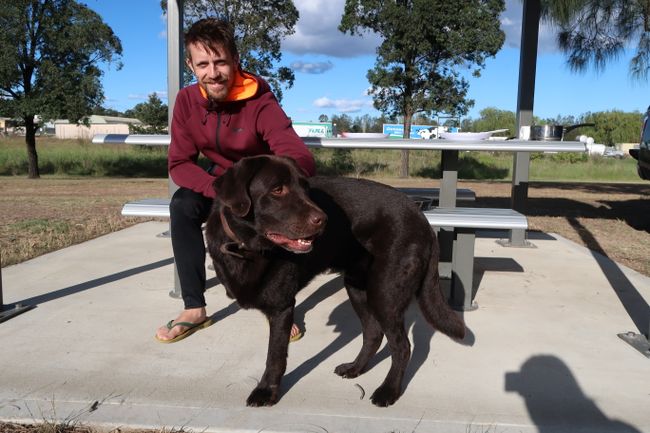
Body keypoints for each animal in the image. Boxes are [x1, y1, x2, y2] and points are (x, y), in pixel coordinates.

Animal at [205, 155, 464, 404]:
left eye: (305, 188)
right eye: (278, 189)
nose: (324, 219)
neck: (245, 247)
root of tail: (422, 219)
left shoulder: (281, 308)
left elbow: (275, 357)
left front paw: (266, 391)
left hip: (384, 292)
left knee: (402, 347)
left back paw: (388, 390)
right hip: (357, 287)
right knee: (373, 333)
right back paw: (356, 368)